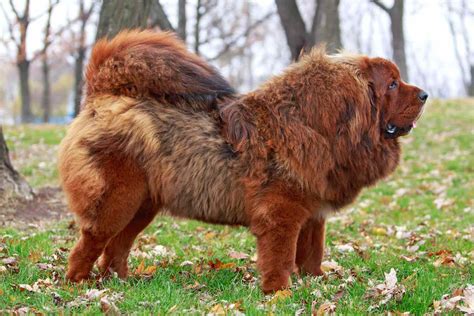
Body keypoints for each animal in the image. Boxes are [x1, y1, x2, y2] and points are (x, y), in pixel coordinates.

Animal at [57, 30, 428, 294]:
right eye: (392, 84)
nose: (425, 94)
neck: (317, 128)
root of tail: (101, 96)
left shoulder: (313, 215)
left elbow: (312, 255)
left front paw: (315, 285)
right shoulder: (281, 215)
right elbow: (280, 258)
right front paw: (280, 293)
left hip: (141, 206)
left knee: (116, 246)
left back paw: (119, 282)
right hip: (117, 202)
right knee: (89, 244)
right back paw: (79, 286)